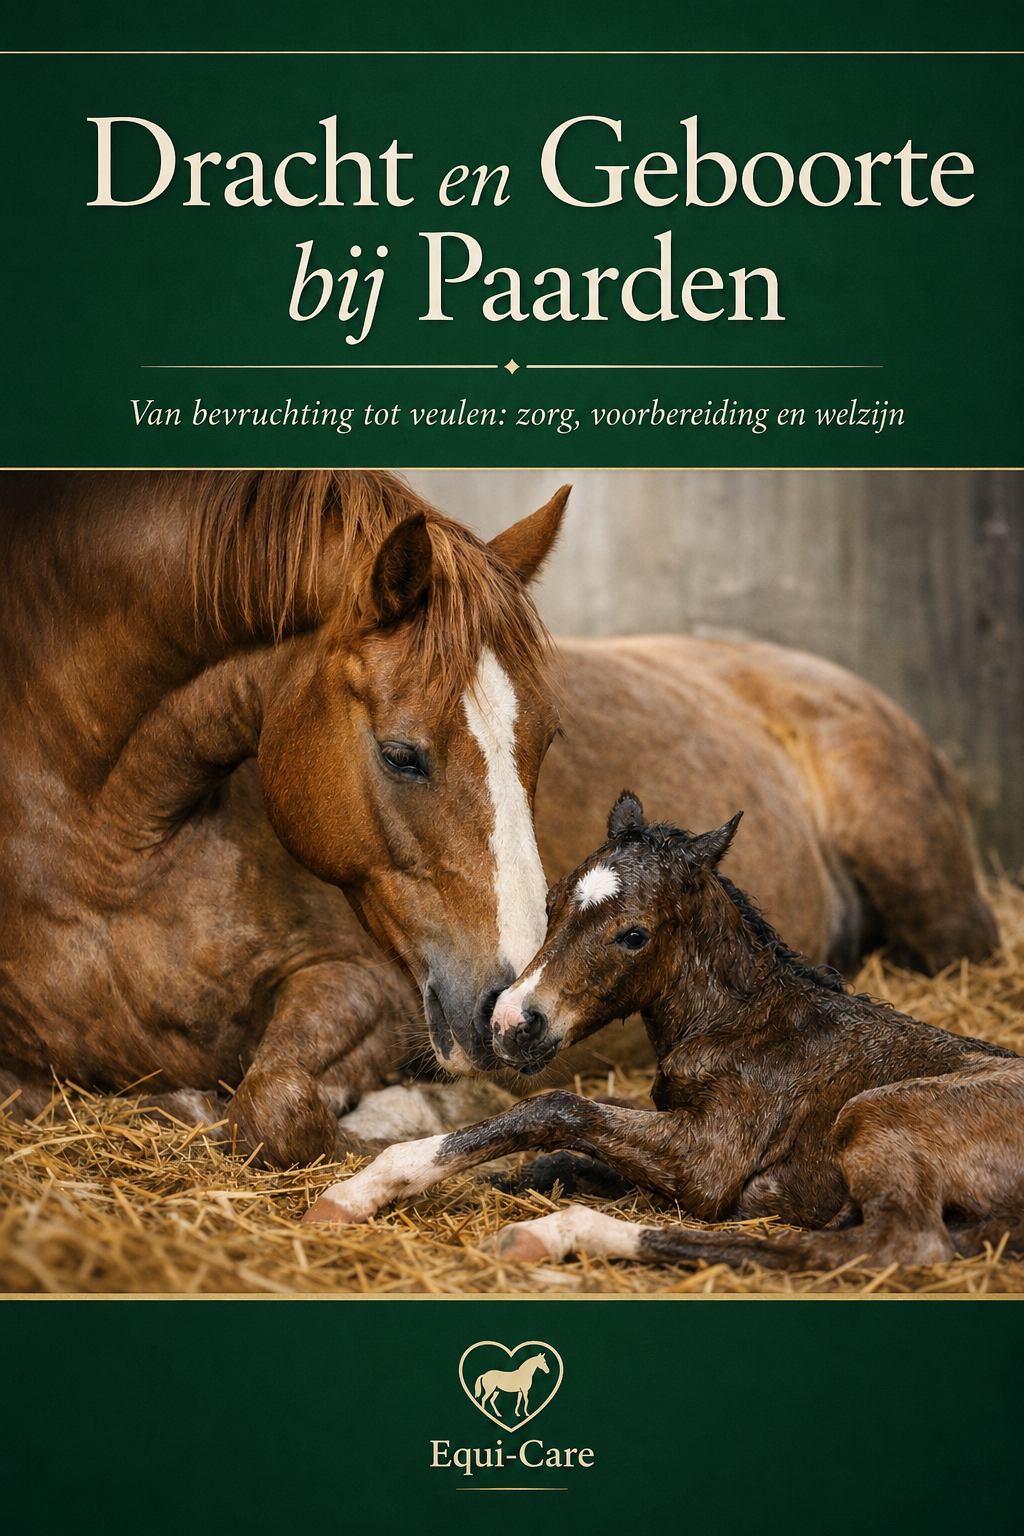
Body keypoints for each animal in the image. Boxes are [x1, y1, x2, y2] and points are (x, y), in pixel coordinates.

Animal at [0, 471, 996, 1169]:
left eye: (547, 739)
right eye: (401, 754)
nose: (510, 1006)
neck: (112, 847)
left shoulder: (370, 987)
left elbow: (272, 1106)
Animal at [304, 794, 1024, 1273]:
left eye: (634, 934)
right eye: (553, 904)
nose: (512, 1022)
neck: (744, 1025)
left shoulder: (709, 1160)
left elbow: (557, 1108)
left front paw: (364, 1188)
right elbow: (561, 1153)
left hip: (877, 1114)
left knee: (894, 1246)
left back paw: (557, 1235)